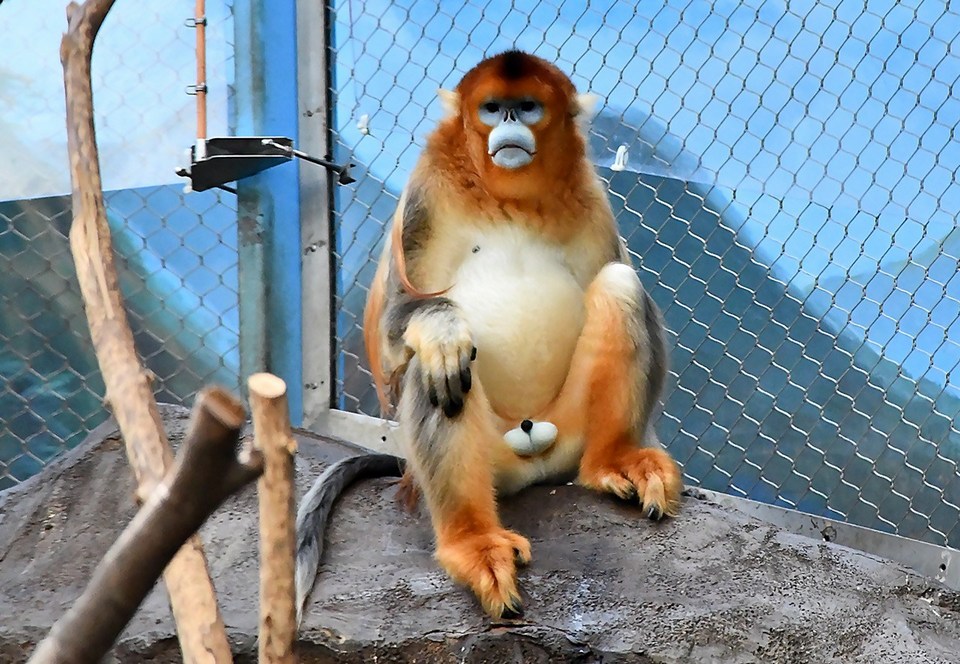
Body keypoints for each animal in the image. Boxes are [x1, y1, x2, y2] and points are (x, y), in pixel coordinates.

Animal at [295, 50, 683, 624]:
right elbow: (400, 323)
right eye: (493, 108)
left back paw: (614, 460)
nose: (510, 124)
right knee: (436, 366)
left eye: (527, 106)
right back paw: (473, 541)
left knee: (619, 283)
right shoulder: (426, 189)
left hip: (570, 429)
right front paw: (441, 328)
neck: (510, 197)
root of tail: (533, 453)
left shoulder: (591, 193)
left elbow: (613, 271)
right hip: (488, 454)